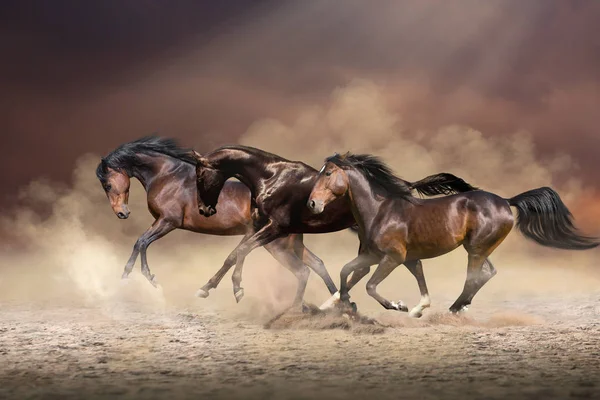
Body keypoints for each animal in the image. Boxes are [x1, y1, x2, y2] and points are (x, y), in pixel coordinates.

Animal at [188, 145, 478, 304]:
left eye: (199, 174)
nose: (204, 210)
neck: (270, 178)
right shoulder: (270, 229)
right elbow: (238, 253)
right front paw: (209, 288)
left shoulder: (277, 228)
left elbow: (240, 251)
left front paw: (232, 289)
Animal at [308, 152, 596, 318]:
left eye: (329, 173)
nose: (312, 204)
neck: (380, 211)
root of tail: (505, 201)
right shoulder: (378, 257)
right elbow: (347, 273)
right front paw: (335, 306)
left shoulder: (393, 257)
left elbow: (369, 286)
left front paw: (400, 306)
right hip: (478, 248)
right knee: (488, 273)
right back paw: (461, 305)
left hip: (476, 249)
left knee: (475, 276)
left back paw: (456, 307)